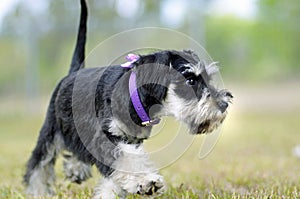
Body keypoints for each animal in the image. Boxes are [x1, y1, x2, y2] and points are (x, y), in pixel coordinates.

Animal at [24, 0, 233, 198]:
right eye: (190, 80)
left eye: (208, 79)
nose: (224, 104)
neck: (136, 97)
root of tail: (73, 72)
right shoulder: (105, 136)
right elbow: (128, 159)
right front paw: (146, 182)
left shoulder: (130, 139)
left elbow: (124, 164)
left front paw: (111, 192)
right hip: (51, 129)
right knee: (39, 162)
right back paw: (37, 190)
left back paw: (76, 170)